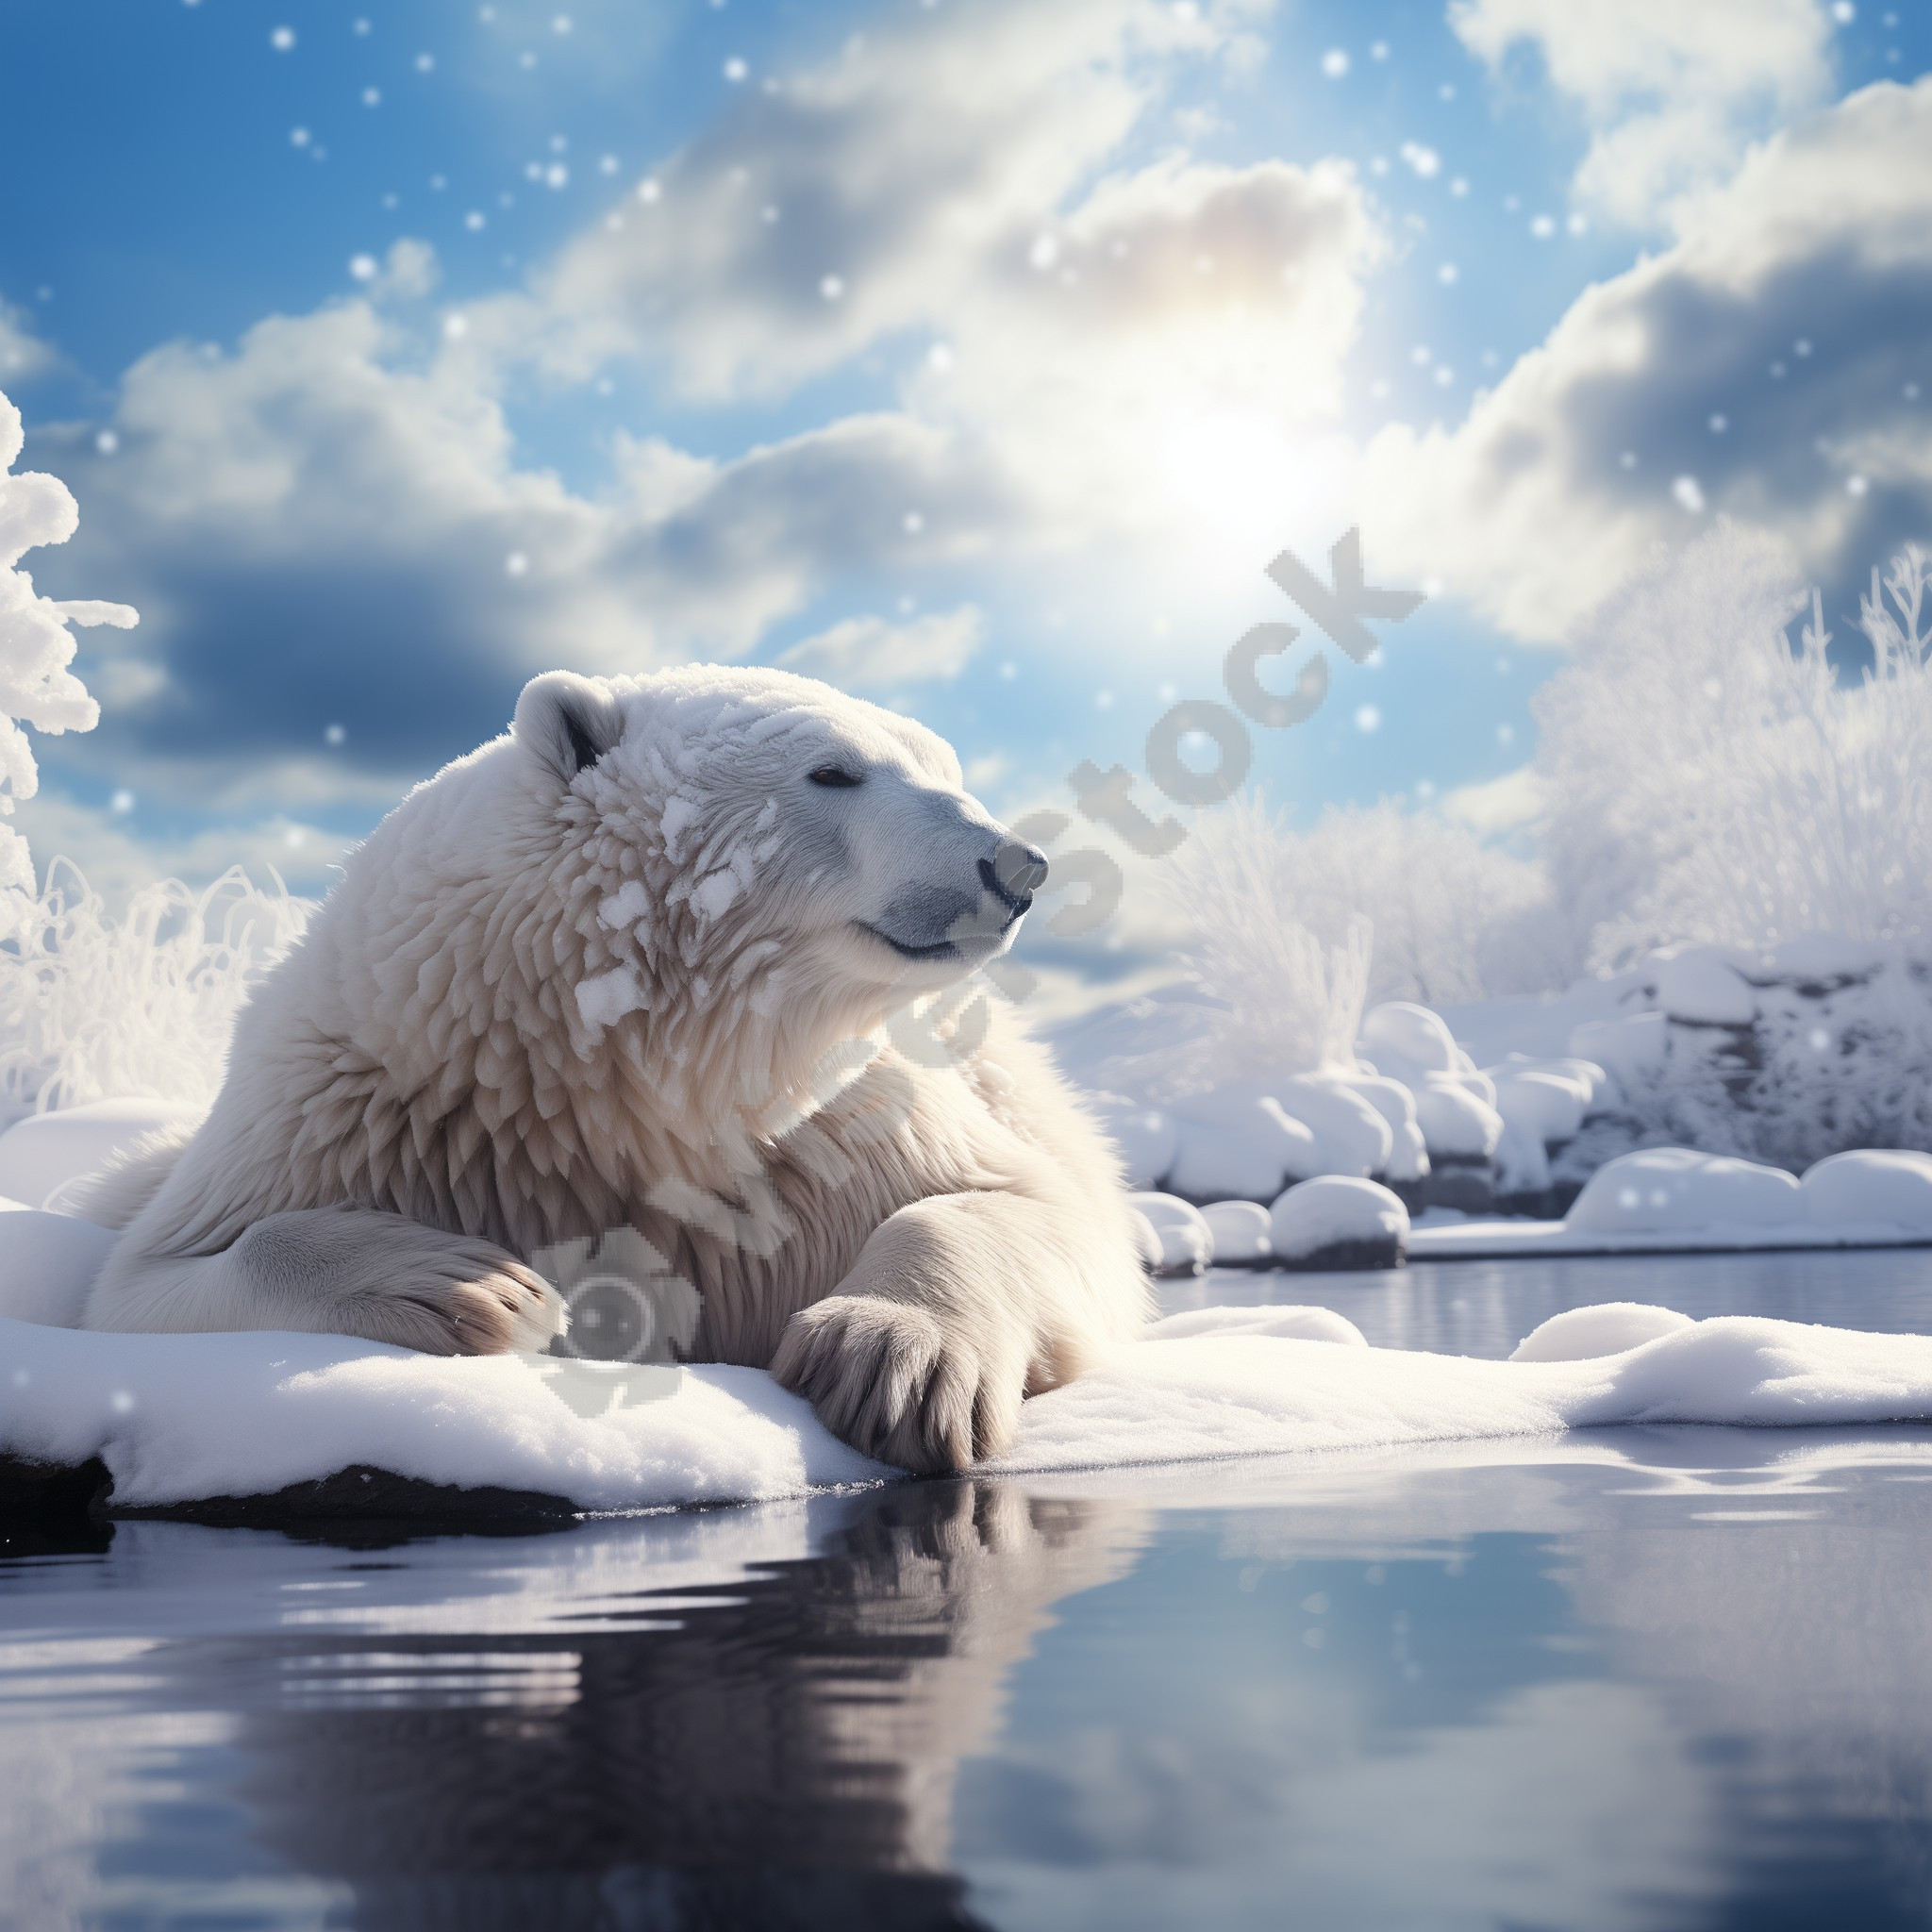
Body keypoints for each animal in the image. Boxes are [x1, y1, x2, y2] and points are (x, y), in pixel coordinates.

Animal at [82, 665, 1150, 1473]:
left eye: (944, 764)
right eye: (834, 769)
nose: (1015, 865)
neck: (625, 1079)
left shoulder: (841, 1126)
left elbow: (1033, 1206)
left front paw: (889, 1360)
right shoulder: (358, 1101)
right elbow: (147, 1282)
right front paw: (469, 1285)